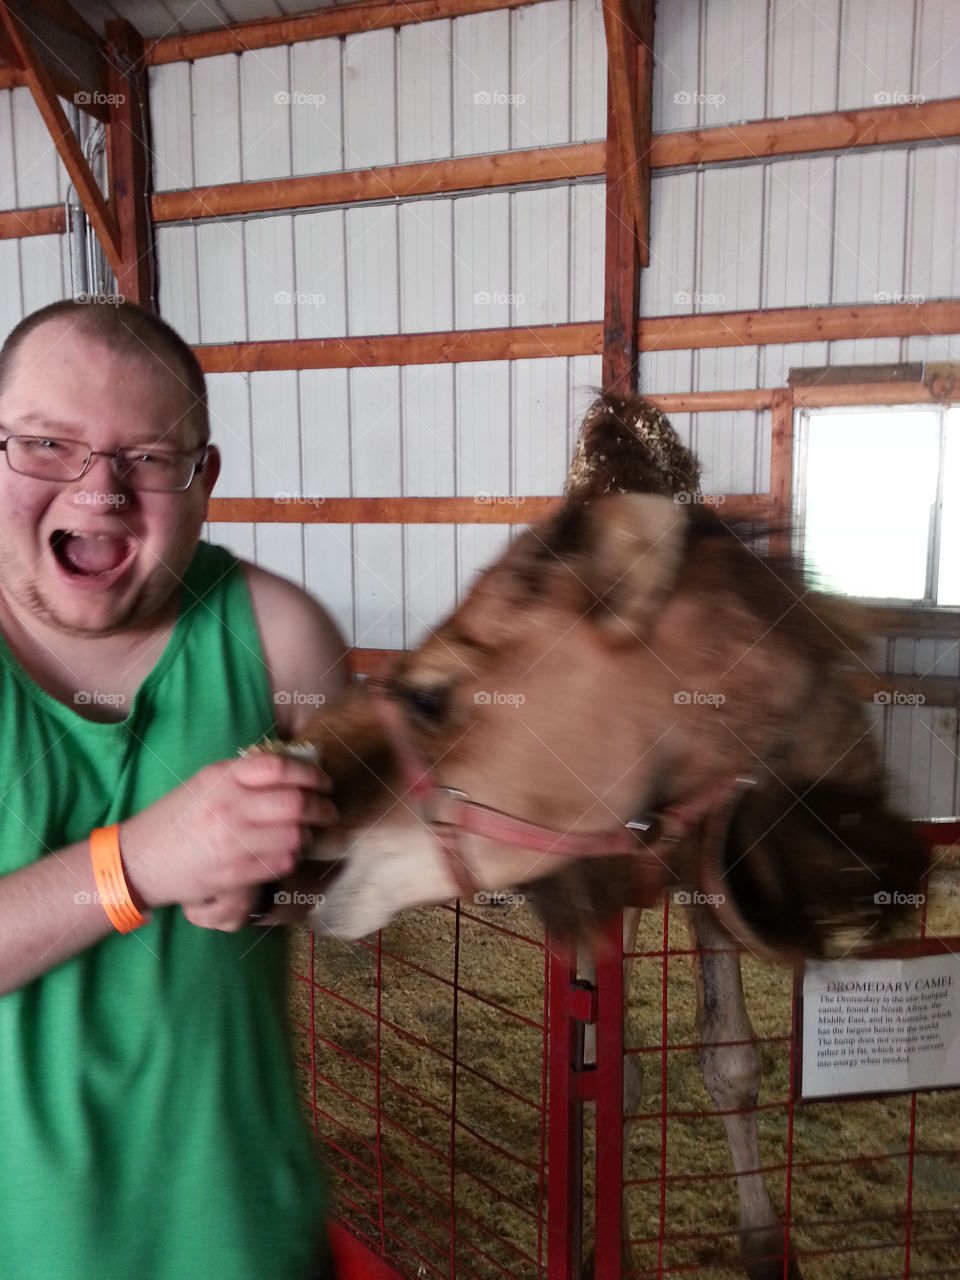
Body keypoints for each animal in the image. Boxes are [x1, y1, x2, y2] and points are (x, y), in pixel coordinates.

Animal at [299, 393, 927, 1279]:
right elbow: (609, 1067)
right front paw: (606, 1244)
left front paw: (767, 1248)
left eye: (429, 697)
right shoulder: (602, 877)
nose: (319, 806)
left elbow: (729, 1060)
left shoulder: (694, 868)